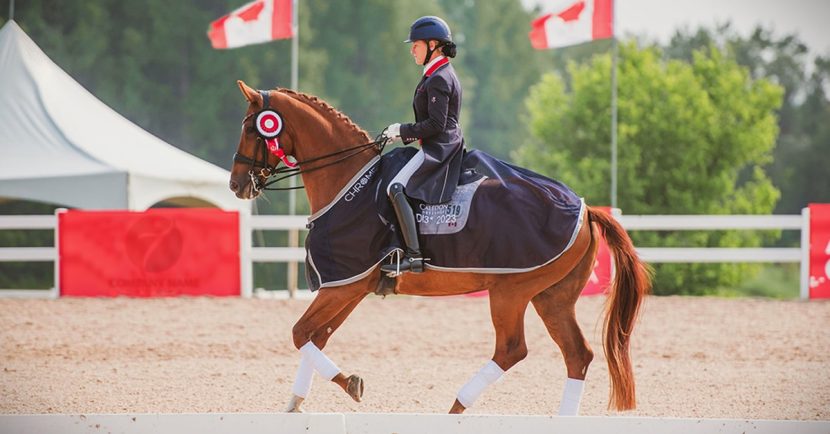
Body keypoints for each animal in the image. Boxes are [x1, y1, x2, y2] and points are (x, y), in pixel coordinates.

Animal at [231, 79, 652, 416]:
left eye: (252, 128)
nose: (237, 185)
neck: (349, 182)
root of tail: (585, 208)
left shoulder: (343, 284)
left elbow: (300, 333)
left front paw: (350, 383)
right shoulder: (350, 287)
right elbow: (314, 336)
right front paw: (295, 404)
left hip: (512, 290)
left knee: (512, 349)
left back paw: (455, 407)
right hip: (553, 296)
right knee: (576, 354)